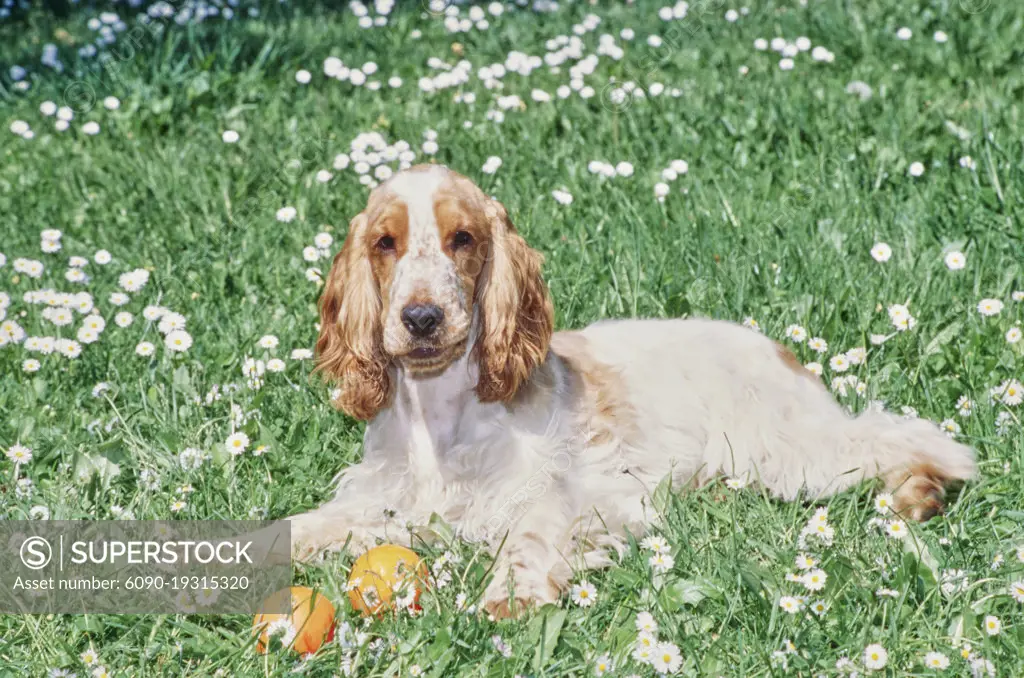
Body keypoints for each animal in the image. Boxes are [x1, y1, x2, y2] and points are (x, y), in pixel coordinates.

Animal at [288, 165, 974, 622]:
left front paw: (511, 597)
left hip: (797, 451)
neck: (442, 413)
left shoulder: (558, 492)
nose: (423, 319)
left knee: (902, 435)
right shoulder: (383, 500)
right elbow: (305, 524)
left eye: (463, 239)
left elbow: (528, 538)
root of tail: (775, 346)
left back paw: (920, 493)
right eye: (385, 243)